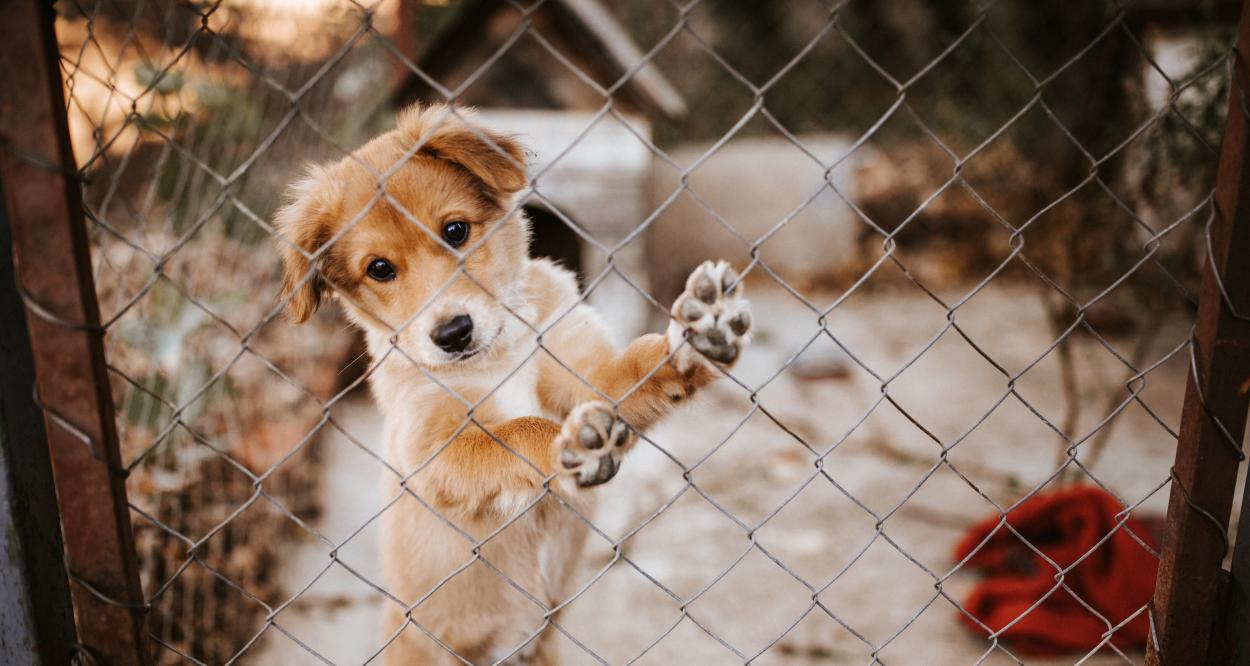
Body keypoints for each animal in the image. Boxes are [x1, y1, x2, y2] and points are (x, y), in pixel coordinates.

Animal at [277, 104, 750, 664]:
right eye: (379, 269)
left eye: (456, 230)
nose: (452, 334)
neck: (500, 351)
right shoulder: (434, 447)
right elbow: (516, 431)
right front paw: (572, 445)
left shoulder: (586, 372)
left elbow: (637, 368)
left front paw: (700, 334)